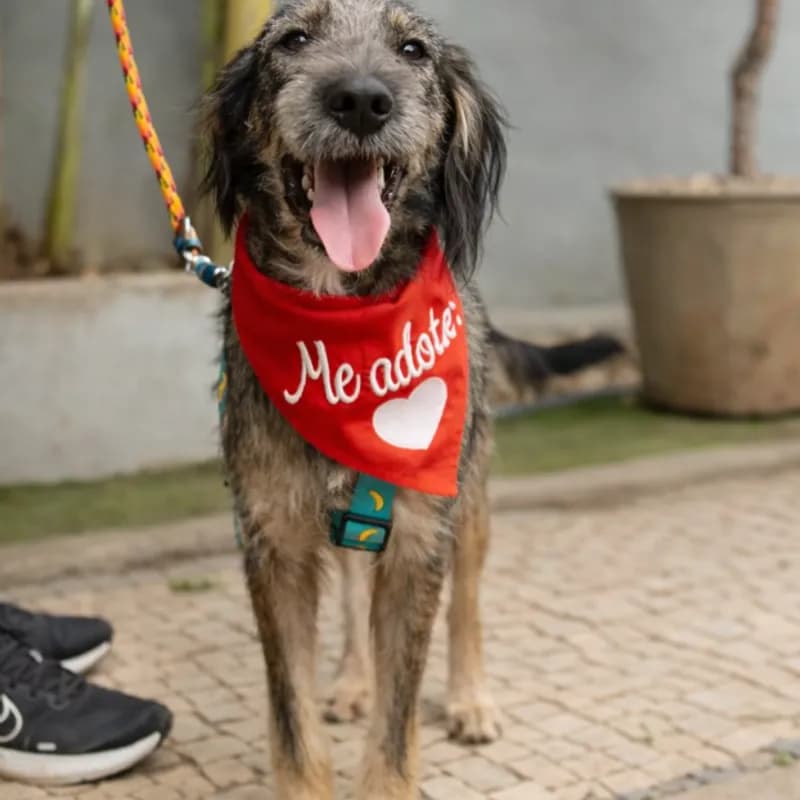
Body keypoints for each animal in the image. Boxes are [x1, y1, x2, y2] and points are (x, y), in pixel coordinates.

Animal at [204, 2, 620, 796]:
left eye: (413, 51)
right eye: (294, 40)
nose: (362, 99)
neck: (343, 316)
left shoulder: (421, 537)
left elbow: (398, 724)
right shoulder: (272, 540)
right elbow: (291, 716)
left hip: (470, 490)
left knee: (469, 603)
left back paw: (470, 698)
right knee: (351, 591)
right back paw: (351, 682)